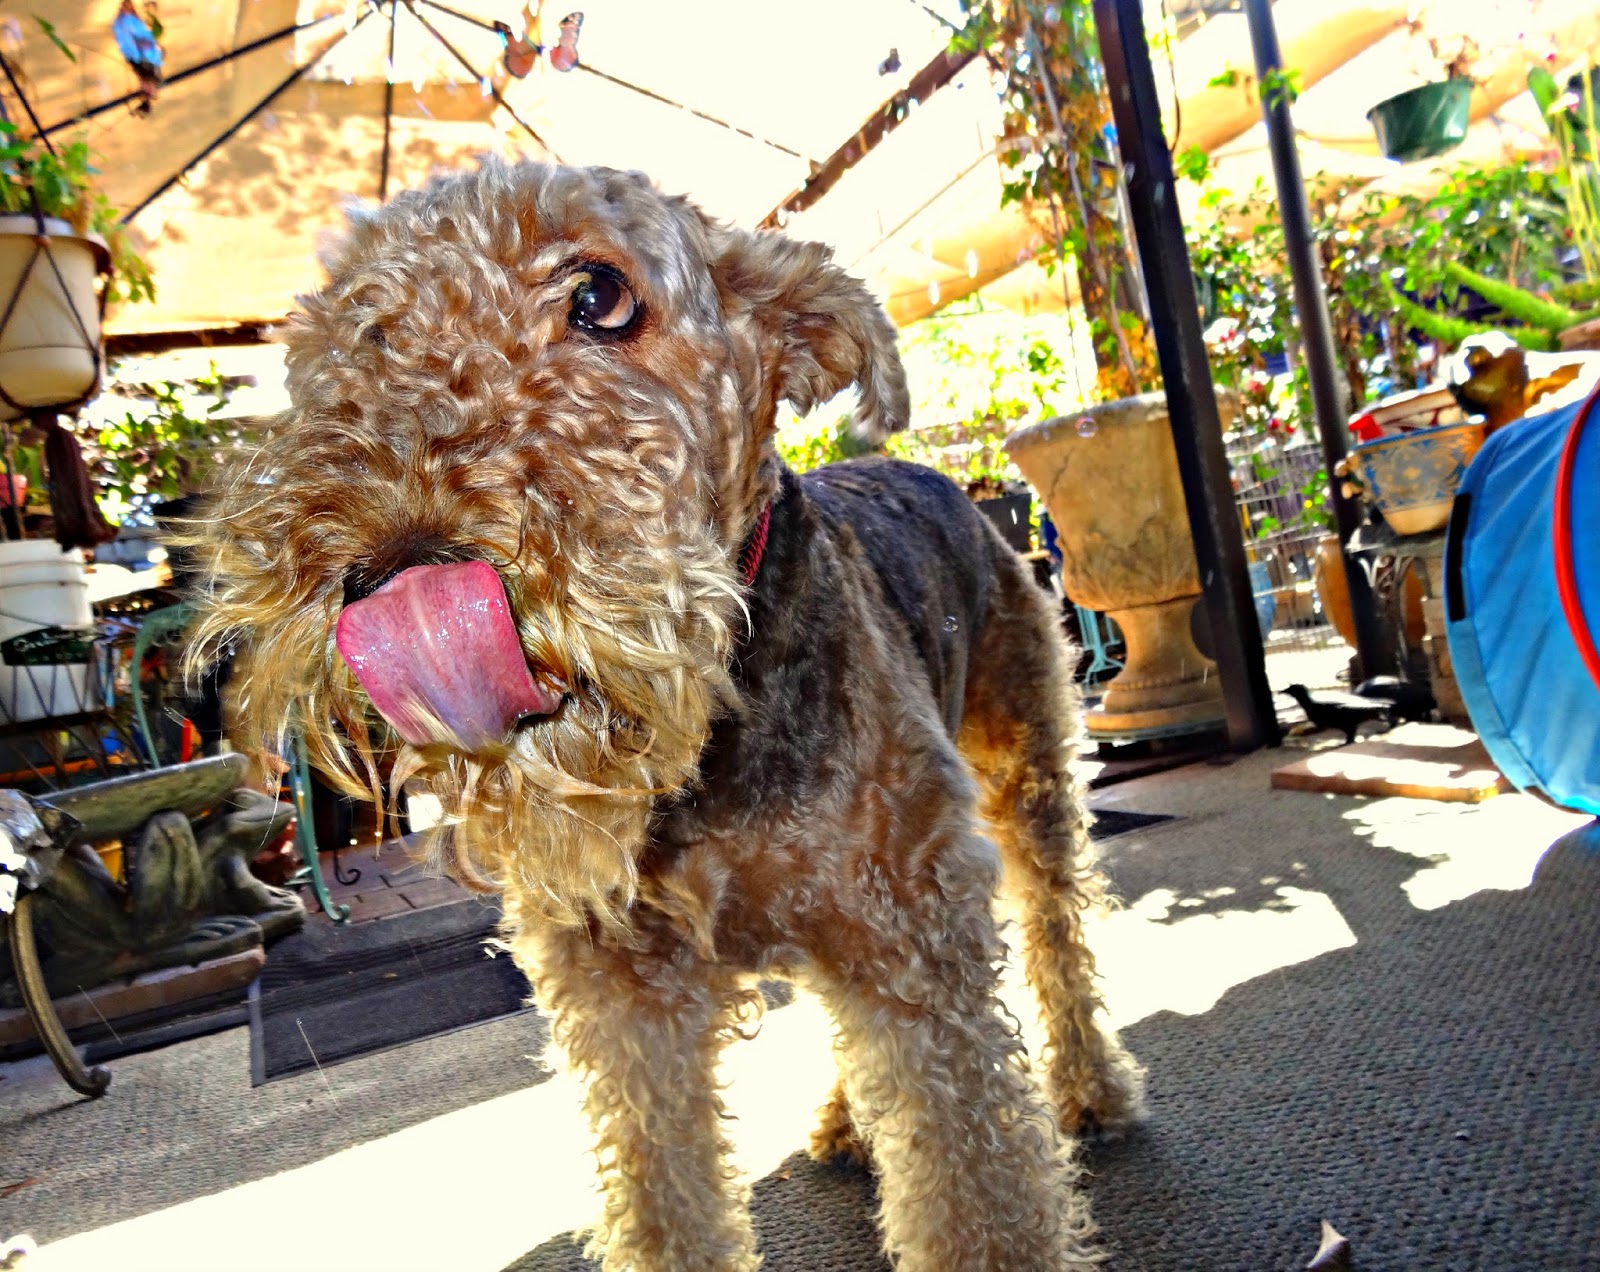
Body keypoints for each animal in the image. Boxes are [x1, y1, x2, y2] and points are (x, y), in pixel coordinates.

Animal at [189, 159, 1142, 1271]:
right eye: (371, 329)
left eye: (599, 296)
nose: (387, 575)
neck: (706, 759)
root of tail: (925, 468)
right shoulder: (624, 1001)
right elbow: (663, 1200)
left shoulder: (916, 948)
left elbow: (977, 1191)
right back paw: (848, 1124)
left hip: (1026, 782)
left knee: (1057, 933)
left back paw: (1091, 1089)